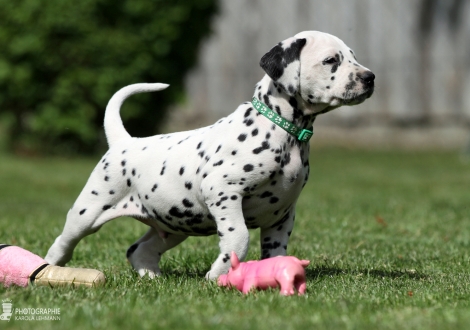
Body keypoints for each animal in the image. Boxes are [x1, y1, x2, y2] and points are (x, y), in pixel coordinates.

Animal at [45, 31, 374, 280]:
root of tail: (123, 141)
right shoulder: (223, 191)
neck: (283, 131)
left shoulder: (282, 213)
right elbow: (238, 238)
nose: (370, 77)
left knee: (139, 250)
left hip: (174, 222)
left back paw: (152, 279)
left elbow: (276, 250)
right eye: (331, 60)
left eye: (353, 57)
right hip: (88, 212)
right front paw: (218, 276)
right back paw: (47, 271)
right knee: (63, 243)